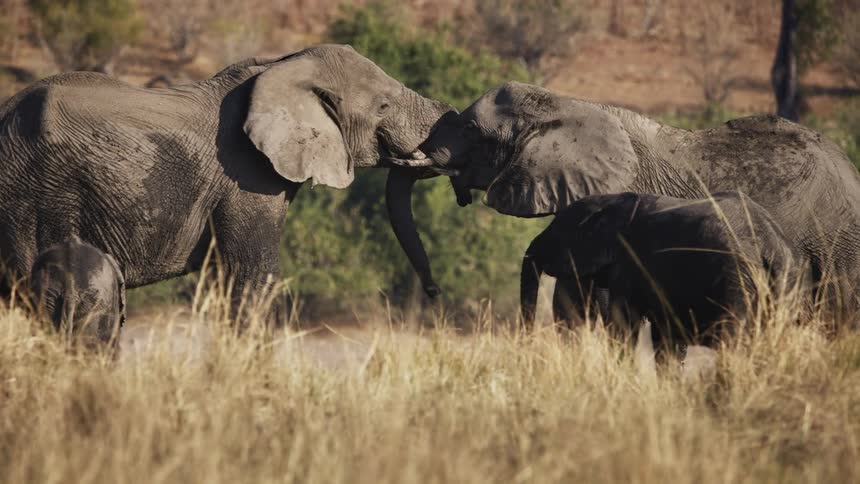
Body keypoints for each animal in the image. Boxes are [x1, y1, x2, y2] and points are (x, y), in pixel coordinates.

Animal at [0, 44, 452, 319]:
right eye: (384, 106)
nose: (434, 293)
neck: (282, 66)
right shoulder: (246, 177)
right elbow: (252, 277)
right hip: (38, 194)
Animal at [519, 192, 810, 348]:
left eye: (556, 233)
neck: (613, 199)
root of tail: (770, 244)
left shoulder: (630, 261)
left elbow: (625, 324)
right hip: (787, 279)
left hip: (737, 278)